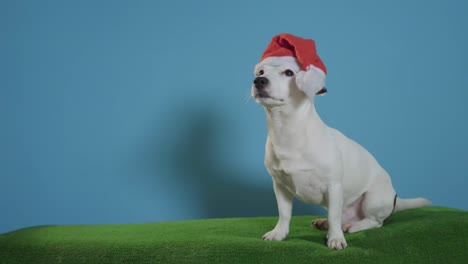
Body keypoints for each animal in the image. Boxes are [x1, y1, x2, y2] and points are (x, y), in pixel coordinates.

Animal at [252, 54, 432, 250]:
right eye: (261, 71)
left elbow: (334, 216)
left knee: (373, 221)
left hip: (373, 199)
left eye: (289, 72)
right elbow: (284, 213)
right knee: (341, 215)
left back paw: (351, 226)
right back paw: (326, 223)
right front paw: (279, 233)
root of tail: (394, 198)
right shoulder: (280, 186)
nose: (259, 80)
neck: (287, 130)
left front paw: (335, 238)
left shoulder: (333, 186)